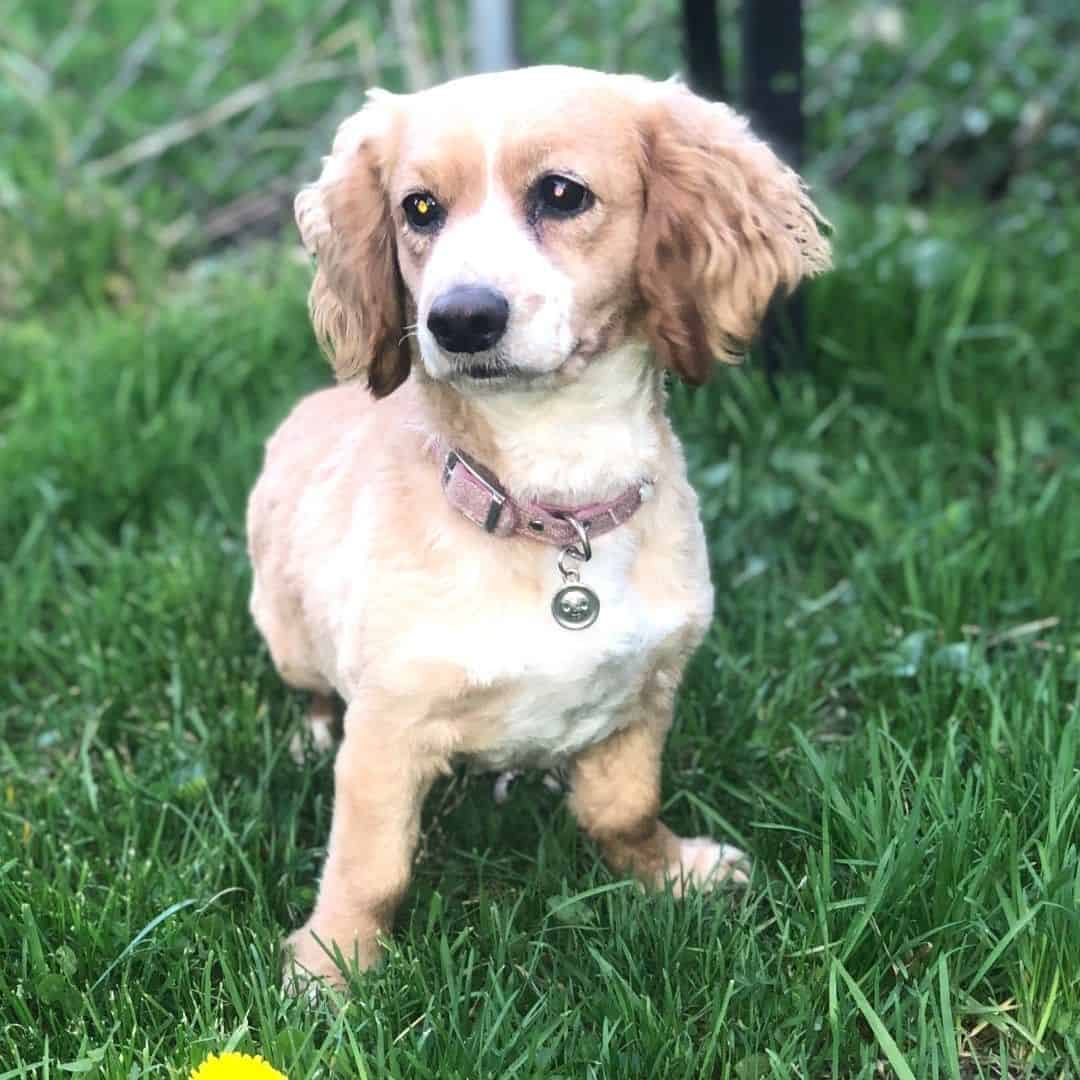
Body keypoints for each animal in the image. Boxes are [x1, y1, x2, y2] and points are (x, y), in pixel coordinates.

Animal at [248, 61, 829, 989]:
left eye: (562, 194)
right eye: (419, 209)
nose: (459, 320)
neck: (553, 504)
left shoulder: (647, 690)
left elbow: (625, 808)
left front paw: (671, 873)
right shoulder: (385, 731)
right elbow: (369, 867)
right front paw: (332, 970)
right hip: (286, 636)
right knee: (308, 693)